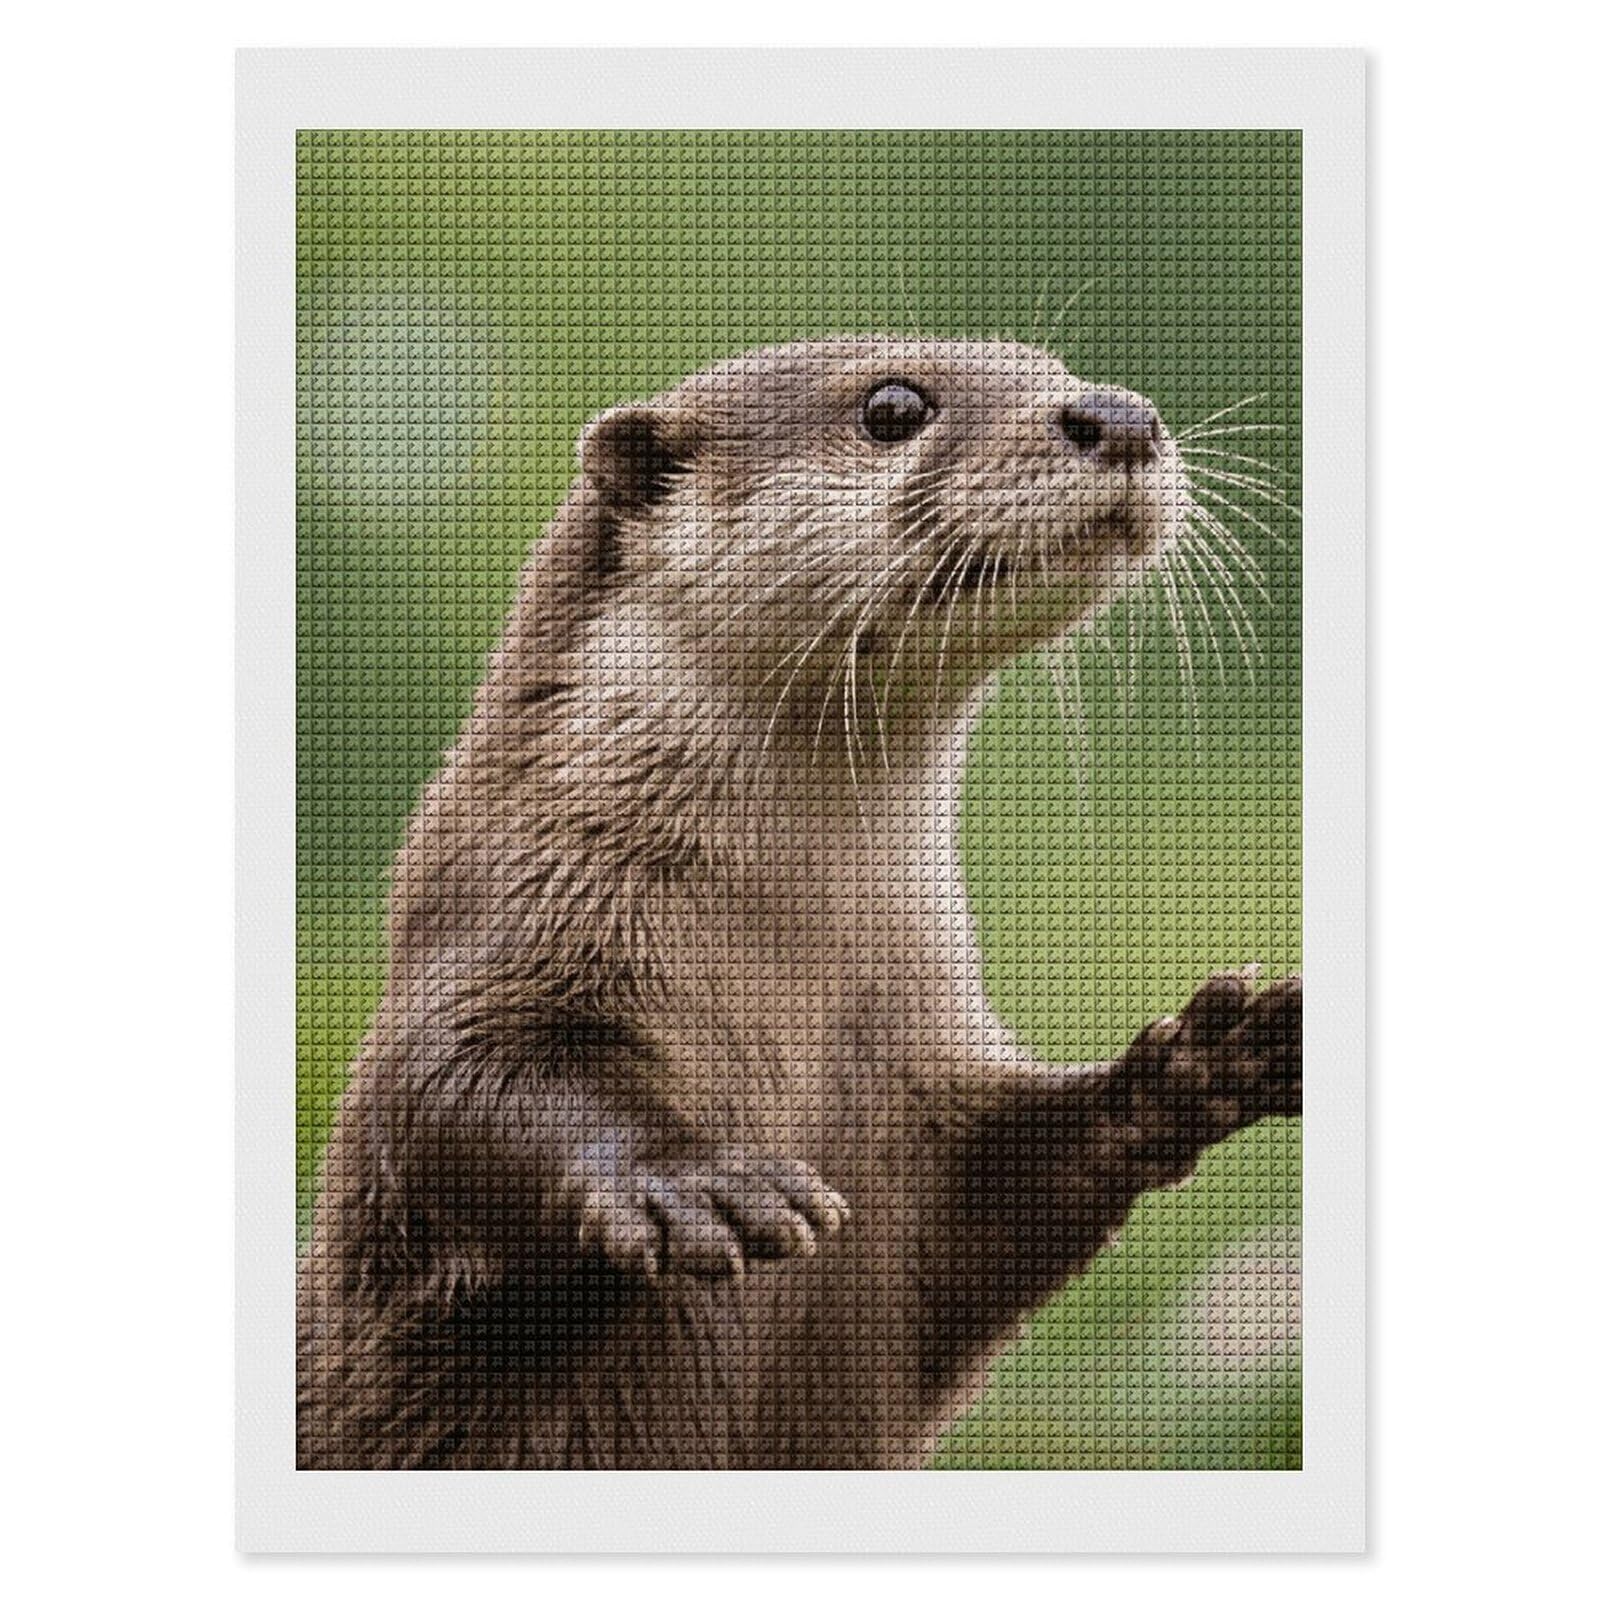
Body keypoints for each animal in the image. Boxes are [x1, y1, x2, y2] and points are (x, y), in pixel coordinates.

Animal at [297, 337, 1301, 1470]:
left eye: (1055, 368)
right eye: (893, 406)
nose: (1121, 415)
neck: (791, 969)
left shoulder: (922, 1078)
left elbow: (1002, 1201)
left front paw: (1196, 1064)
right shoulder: (502, 931)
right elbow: (447, 1092)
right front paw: (690, 1179)